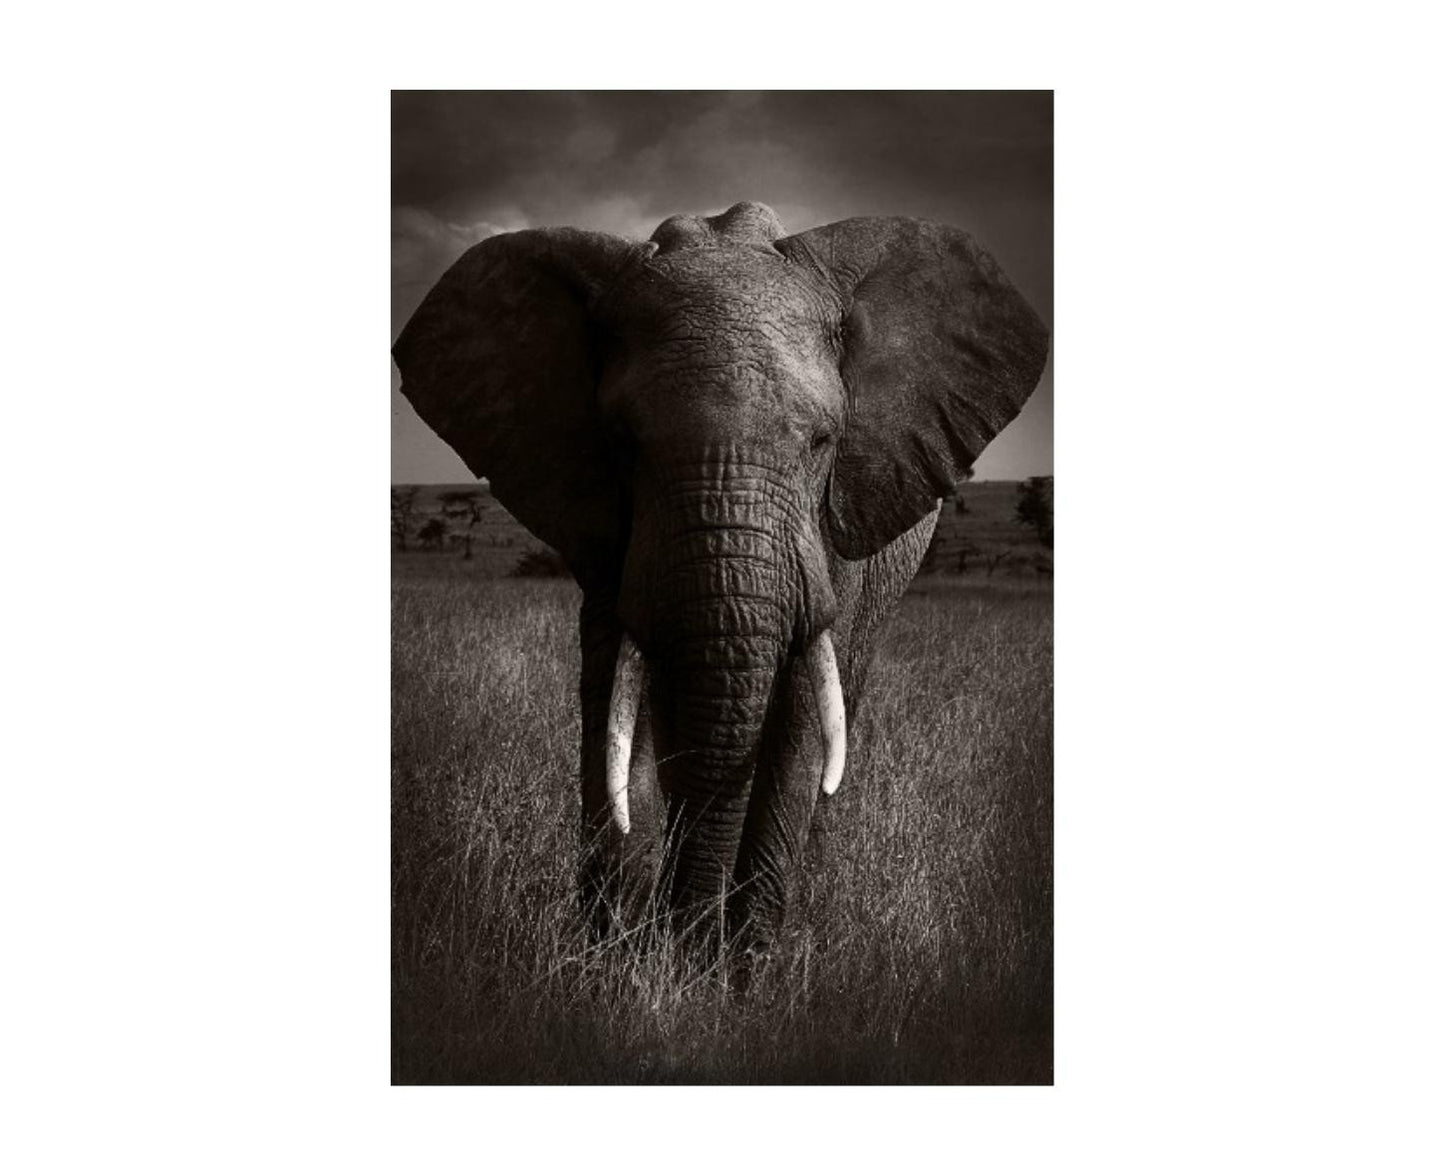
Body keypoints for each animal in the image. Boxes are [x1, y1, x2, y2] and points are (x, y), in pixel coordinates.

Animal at [392, 200, 1049, 959]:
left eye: (823, 442)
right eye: (621, 444)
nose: (691, 945)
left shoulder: (839, 520)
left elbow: (798, 720)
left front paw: (740, 971)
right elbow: (612, 701)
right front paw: (615, 959)